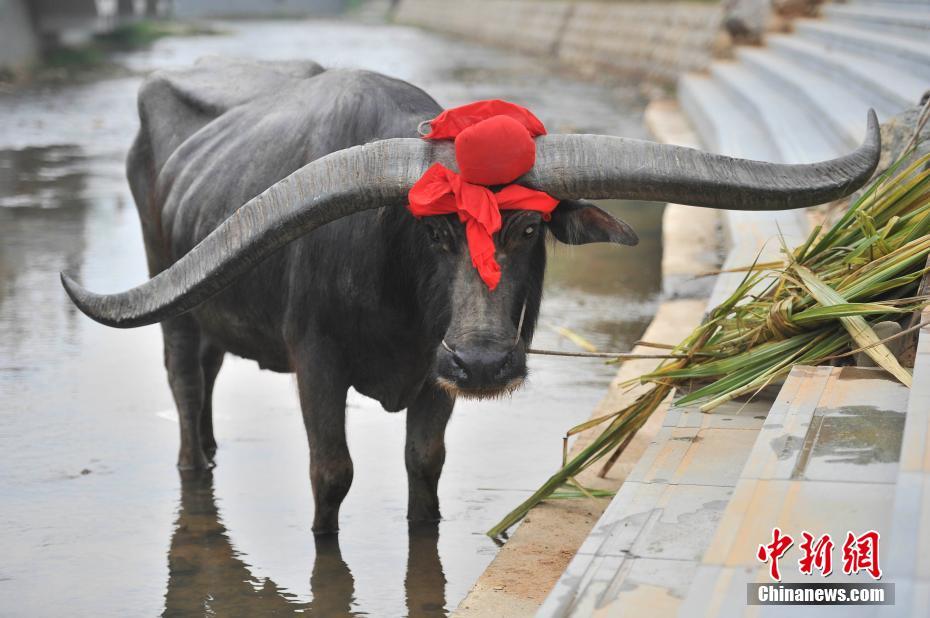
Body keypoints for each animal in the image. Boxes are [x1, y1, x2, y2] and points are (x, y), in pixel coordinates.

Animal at [59, 55, 876, 532]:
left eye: (527, 227)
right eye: (435, 232)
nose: (483, 362)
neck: (395, 293)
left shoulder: (434, 376)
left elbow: (425, 468)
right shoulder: (317, 363)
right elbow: (332, 475)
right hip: (172, 298)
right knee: (184, 384)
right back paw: (195, 464)